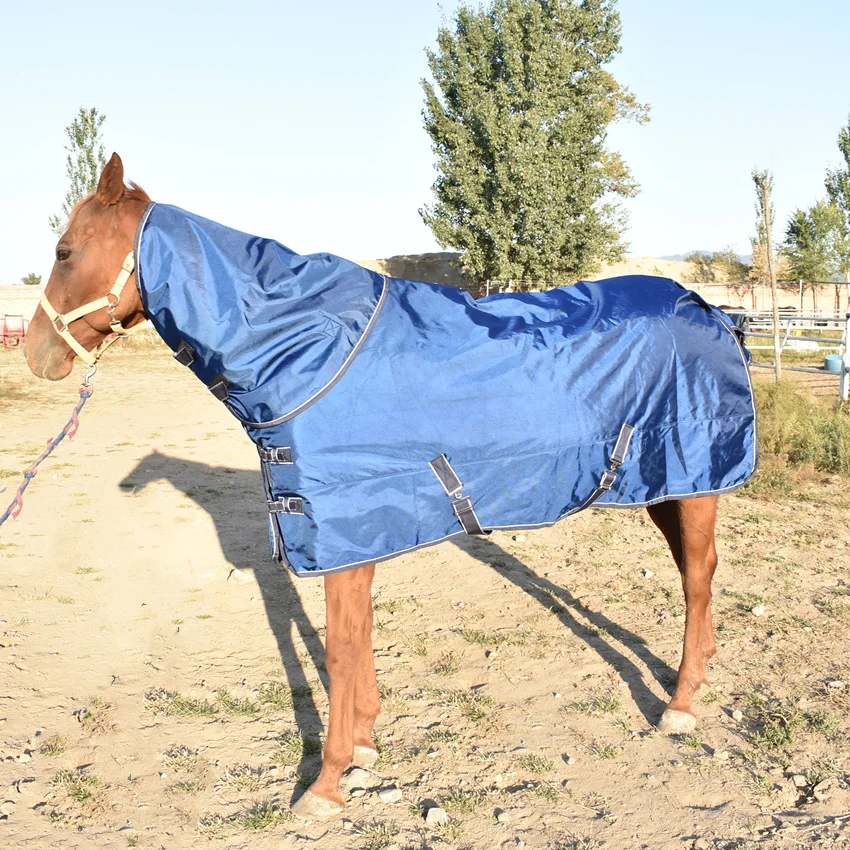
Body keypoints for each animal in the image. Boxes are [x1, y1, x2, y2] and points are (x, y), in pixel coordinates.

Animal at [26, 152, 734, 820]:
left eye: (65, 252)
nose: (35, 354)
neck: (309, 351)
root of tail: (708, 307)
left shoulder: (342, 529)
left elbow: (339, 651)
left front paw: (327, 782)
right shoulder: (355, 536)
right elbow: (357, 640)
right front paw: (365, 746)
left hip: (693, 477)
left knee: (698, 580)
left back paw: (679, 706)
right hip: (666, 487)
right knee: (693, 574)